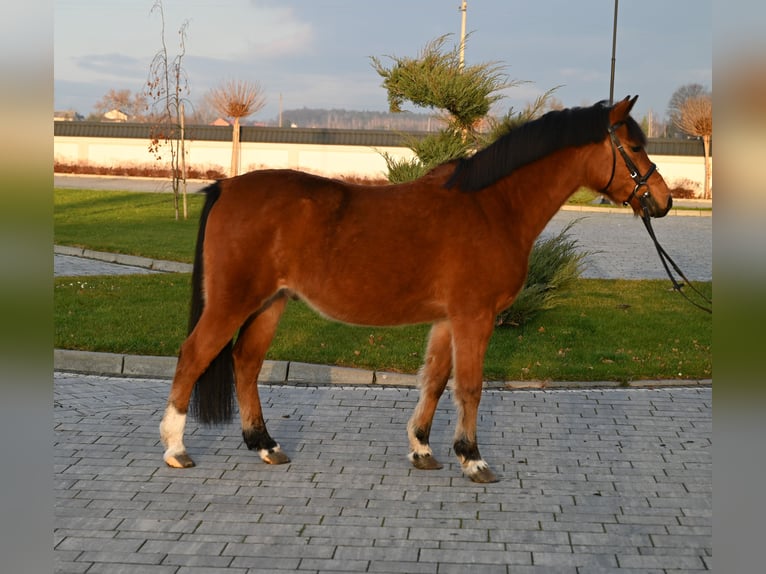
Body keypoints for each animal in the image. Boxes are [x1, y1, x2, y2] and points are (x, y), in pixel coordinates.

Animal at [160, 97, 672, 484]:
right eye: (632, 146)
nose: (664, 201)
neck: (492, 207)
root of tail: (226, 187)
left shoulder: (448, 319)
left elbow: (436, 381)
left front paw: (423, 449)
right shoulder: (474, 317)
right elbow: (470, 386)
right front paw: (473, 459)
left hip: (270, 303)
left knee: (245, 362)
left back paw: (265, 445)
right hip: (233, 302)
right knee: (194, 355)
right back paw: (176, 448)